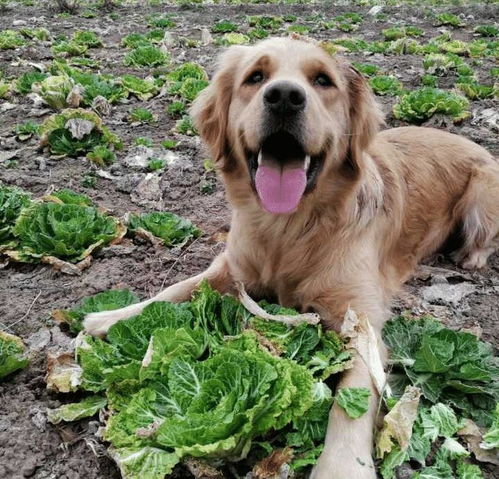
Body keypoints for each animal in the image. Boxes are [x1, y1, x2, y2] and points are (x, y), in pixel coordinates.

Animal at [85, 38, 499, 479]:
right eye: (255, 77)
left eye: (322, 80)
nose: (284, 96)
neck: (288, 229)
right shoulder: (232, 269)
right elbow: (175, 289)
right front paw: (109, 318)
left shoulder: (361, 325)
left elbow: (349, 405)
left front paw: (341, 469)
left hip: (482, 195)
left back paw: (469, 257)